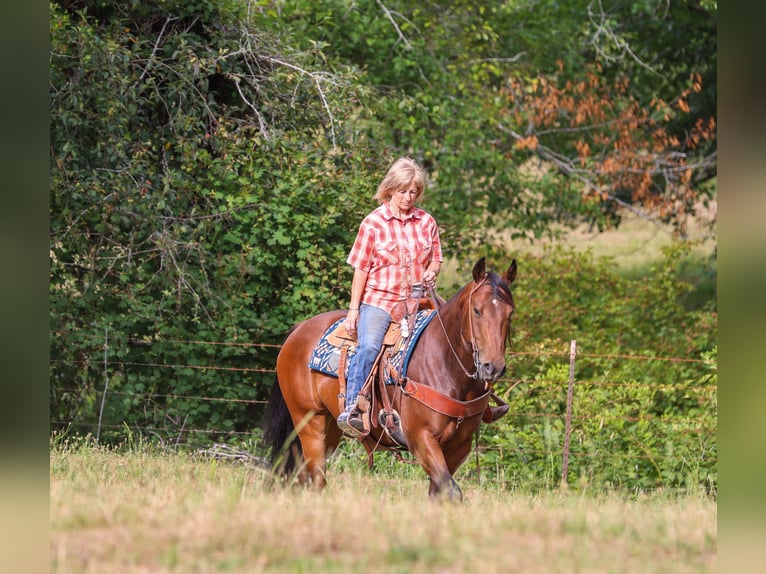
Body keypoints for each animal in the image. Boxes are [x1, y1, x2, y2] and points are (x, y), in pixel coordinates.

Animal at [263, 257, 517, 501]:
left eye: (510, 313)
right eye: (477, 310)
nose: (492, 367)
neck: (445, 364)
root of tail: (298, 330)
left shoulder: (459, 446)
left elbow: (439, 492)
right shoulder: (420, 437)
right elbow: (450, 490)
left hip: (330, 427)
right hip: (309, 421)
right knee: (315, 478)